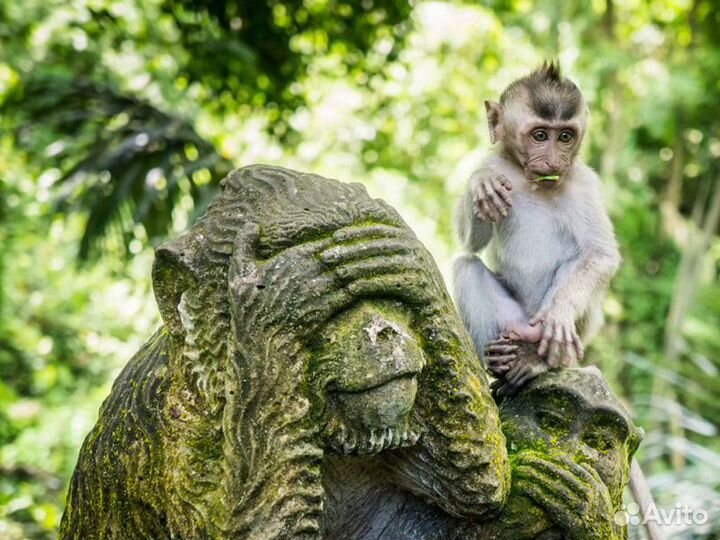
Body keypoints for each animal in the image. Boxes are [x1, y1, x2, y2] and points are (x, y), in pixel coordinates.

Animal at [456, 62, 620, 396]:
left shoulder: (584, 184)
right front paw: (481, 183)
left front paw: (559, 315)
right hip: (512, 319)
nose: (554, 160)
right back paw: (498, 362)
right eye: (540, 135)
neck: (530, 181)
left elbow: (600, 254)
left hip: (562, 328)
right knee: (465, 265)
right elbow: (470, 243)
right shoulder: (494, 163)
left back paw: (539, 361)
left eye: (566, 136)